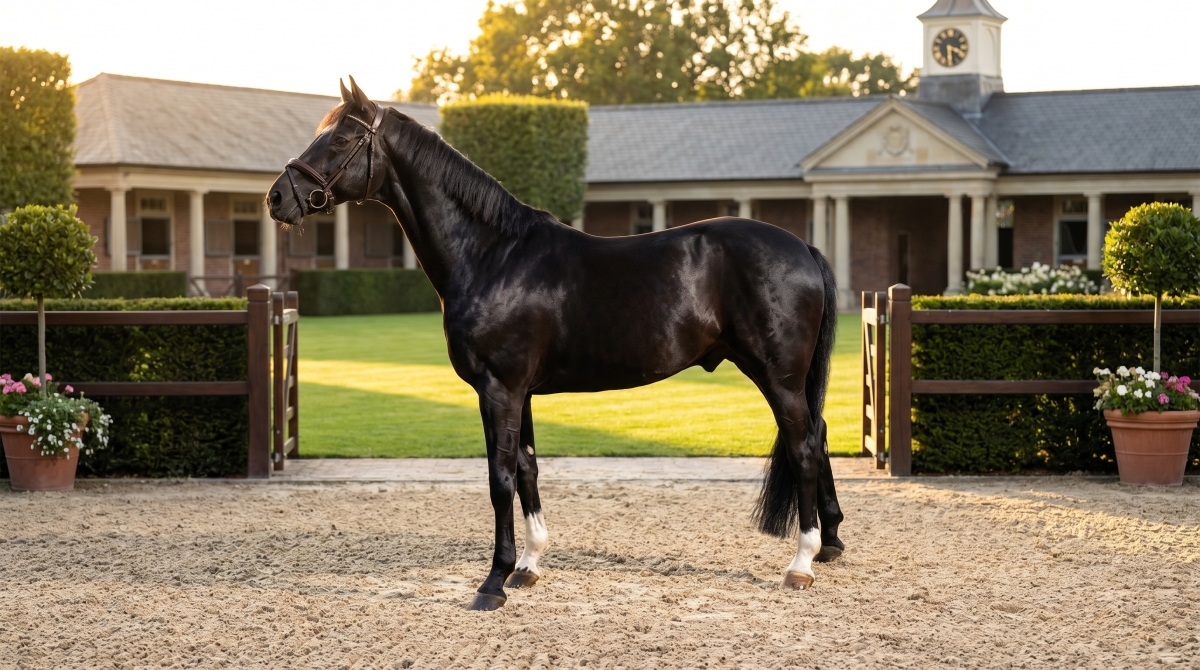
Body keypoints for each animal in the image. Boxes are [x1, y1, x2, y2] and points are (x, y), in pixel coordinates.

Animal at [268, 77, 846, 611]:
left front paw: (493, 582)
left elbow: (500, 477)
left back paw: (800, 564)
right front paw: (528, 565)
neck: (494, 256)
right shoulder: (518, 391)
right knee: (816, 437)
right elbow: (527, 467)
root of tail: (804, 247)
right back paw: (830, 544)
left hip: (778, 374)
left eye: (341, 138)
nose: (277, 197)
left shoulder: (498, 388)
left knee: (803, 446)